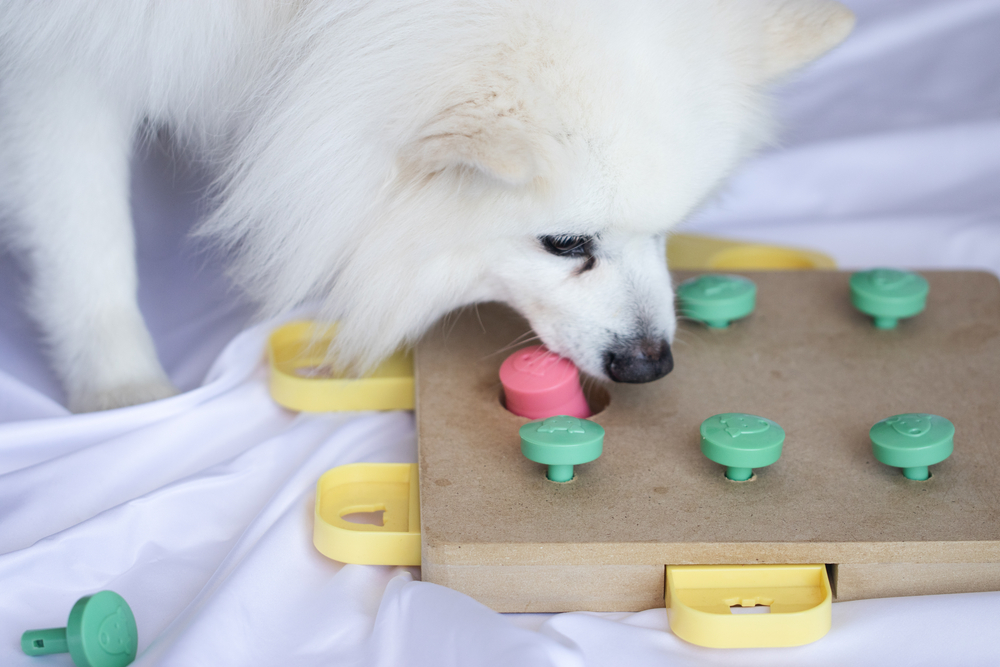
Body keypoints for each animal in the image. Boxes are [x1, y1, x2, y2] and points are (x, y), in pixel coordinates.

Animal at [0, 1, 852, 412]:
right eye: (565, 242)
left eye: (670, 228)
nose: (649, 364)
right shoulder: (61, 58)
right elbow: (83, 233)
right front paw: (119, 388)